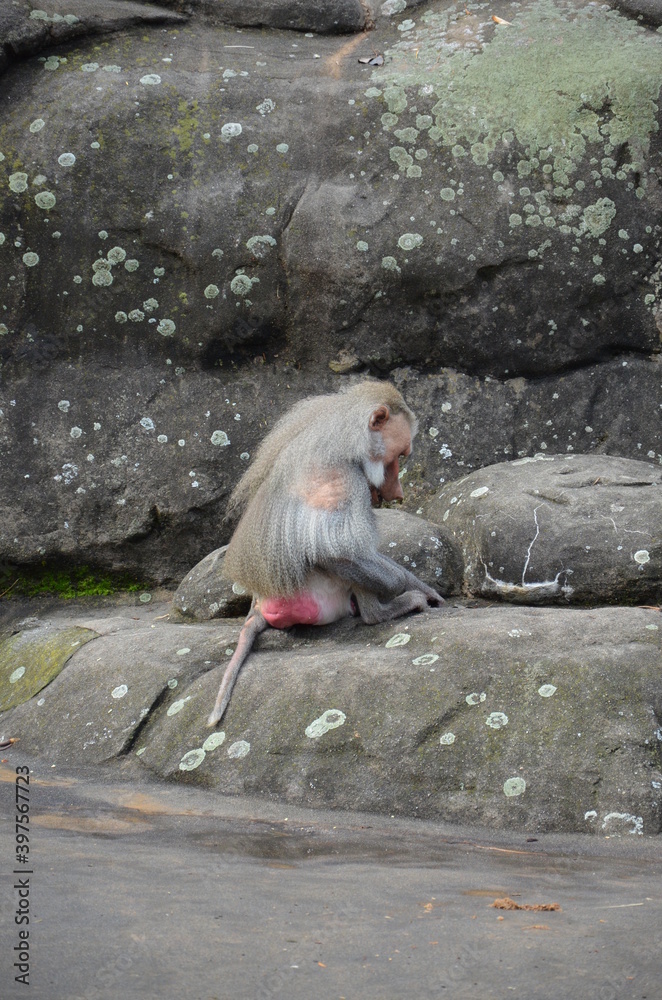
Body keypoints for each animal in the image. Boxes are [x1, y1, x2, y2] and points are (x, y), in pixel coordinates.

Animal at [207, 381, 443, 727]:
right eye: (399, 456)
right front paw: (405, 591)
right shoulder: (343, 480)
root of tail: (260, 605)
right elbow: (336, 551)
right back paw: (384, 610)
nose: (399, 494)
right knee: (344, 557)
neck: (348, 437)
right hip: (317, 595)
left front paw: (425, 587)